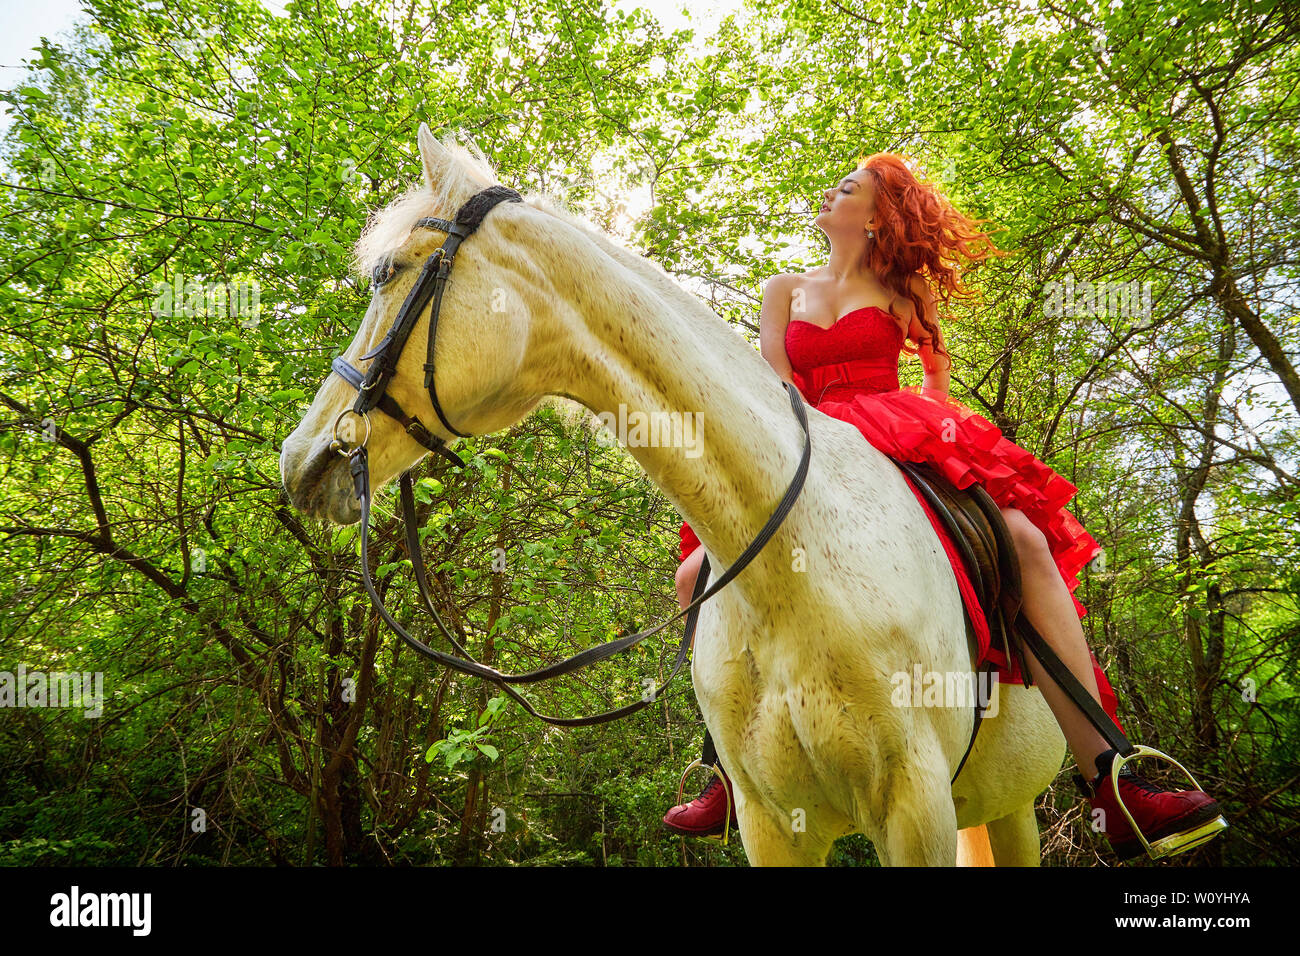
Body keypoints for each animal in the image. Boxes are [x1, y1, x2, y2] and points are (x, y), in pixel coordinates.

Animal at [279, 124, 1067, 866]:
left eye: (388, 272)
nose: (298, 457)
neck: (797, 568)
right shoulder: (773, 825)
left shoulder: (914, 815)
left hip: (1013, 809)